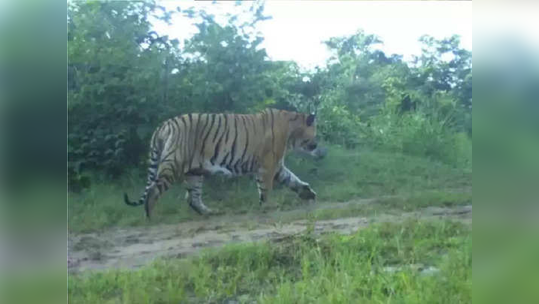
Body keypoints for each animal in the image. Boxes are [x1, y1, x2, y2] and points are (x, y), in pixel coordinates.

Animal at [123, 109, 320, 218]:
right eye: (315, 132)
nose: (317, 144)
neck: (291, 131)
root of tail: (164, 125)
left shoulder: (276, 165)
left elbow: (292, 179)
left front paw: (307, 193)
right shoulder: (268, 165)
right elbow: (266, 188)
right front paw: (268, 206)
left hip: (194, 172)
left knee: (192, 197)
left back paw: (209, 212)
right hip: (174, 164)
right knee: (154, 190)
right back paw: (149, 216)